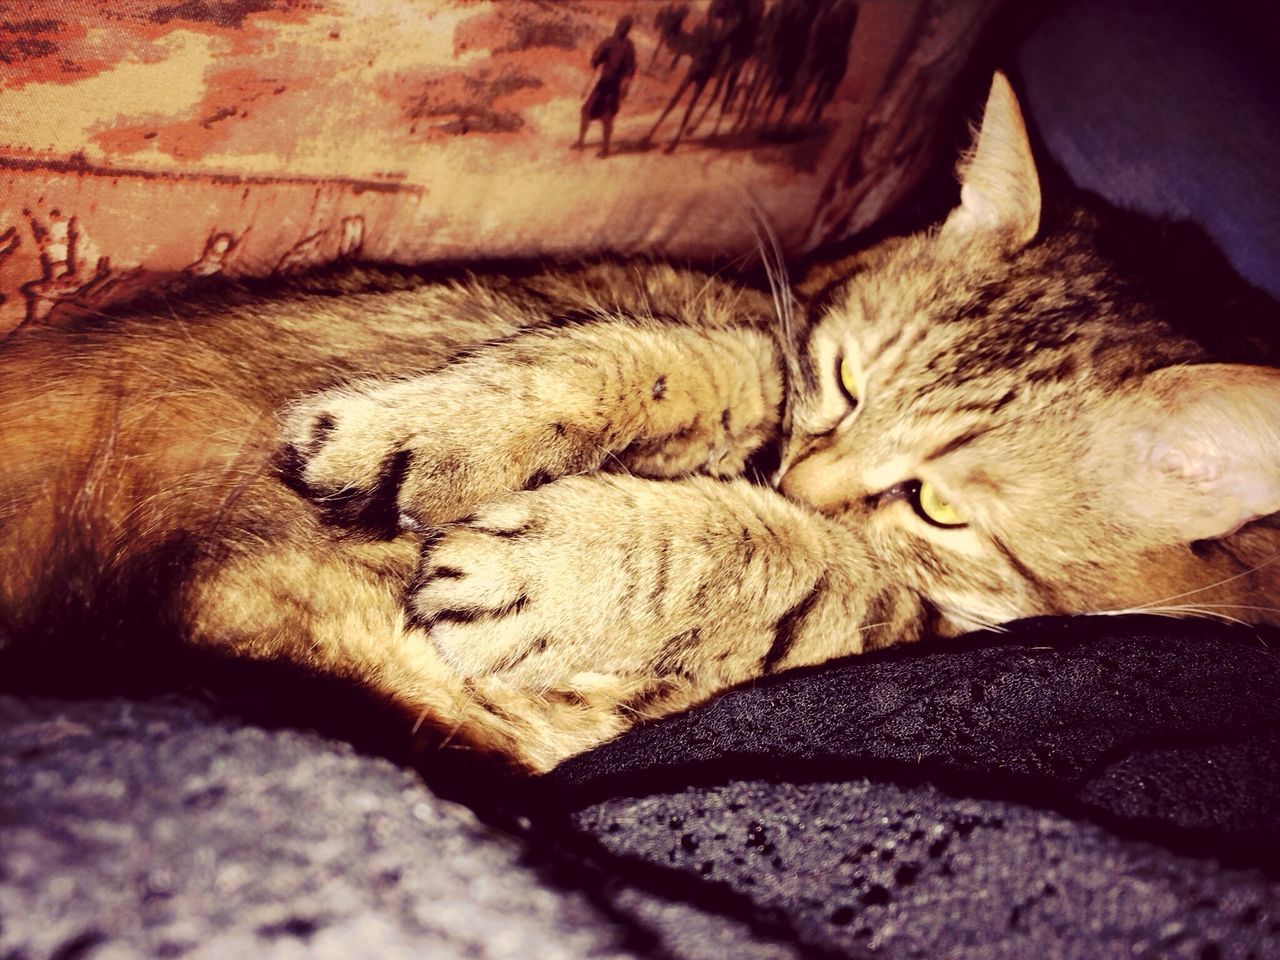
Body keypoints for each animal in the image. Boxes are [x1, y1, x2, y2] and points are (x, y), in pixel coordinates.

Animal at [0, 73, 1274, 773]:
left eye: (940, 505)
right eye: (846, 380)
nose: (798, 481)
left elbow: (819, 570)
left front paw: (565, 569)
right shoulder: (771, 334)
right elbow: (692, 359)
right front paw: (447, 427)